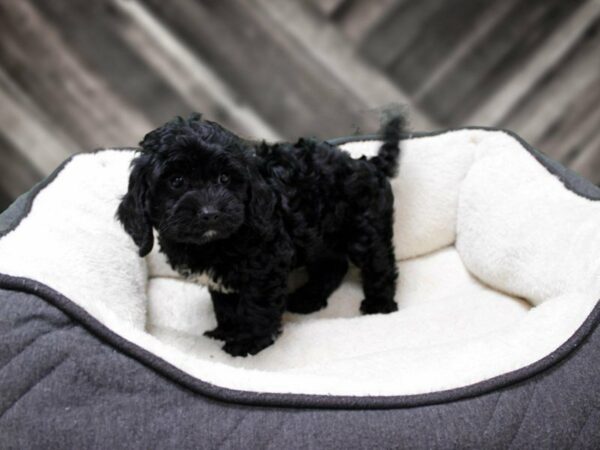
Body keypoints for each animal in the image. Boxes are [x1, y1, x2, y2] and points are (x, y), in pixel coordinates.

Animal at [117, 114, 404, 356]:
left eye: (224, 178)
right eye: (176, 181)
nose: (210, 213)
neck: (213, 244)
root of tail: (368, 164)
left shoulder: (266, 267)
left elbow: (256, 306)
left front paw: (248, 342)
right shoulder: (221, 280)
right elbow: (225, 305)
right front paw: (226, 330)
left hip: (364, 229)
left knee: (379, 263)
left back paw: (380, 304)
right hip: (320, 238)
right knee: (332, 266)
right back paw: (308, 299)